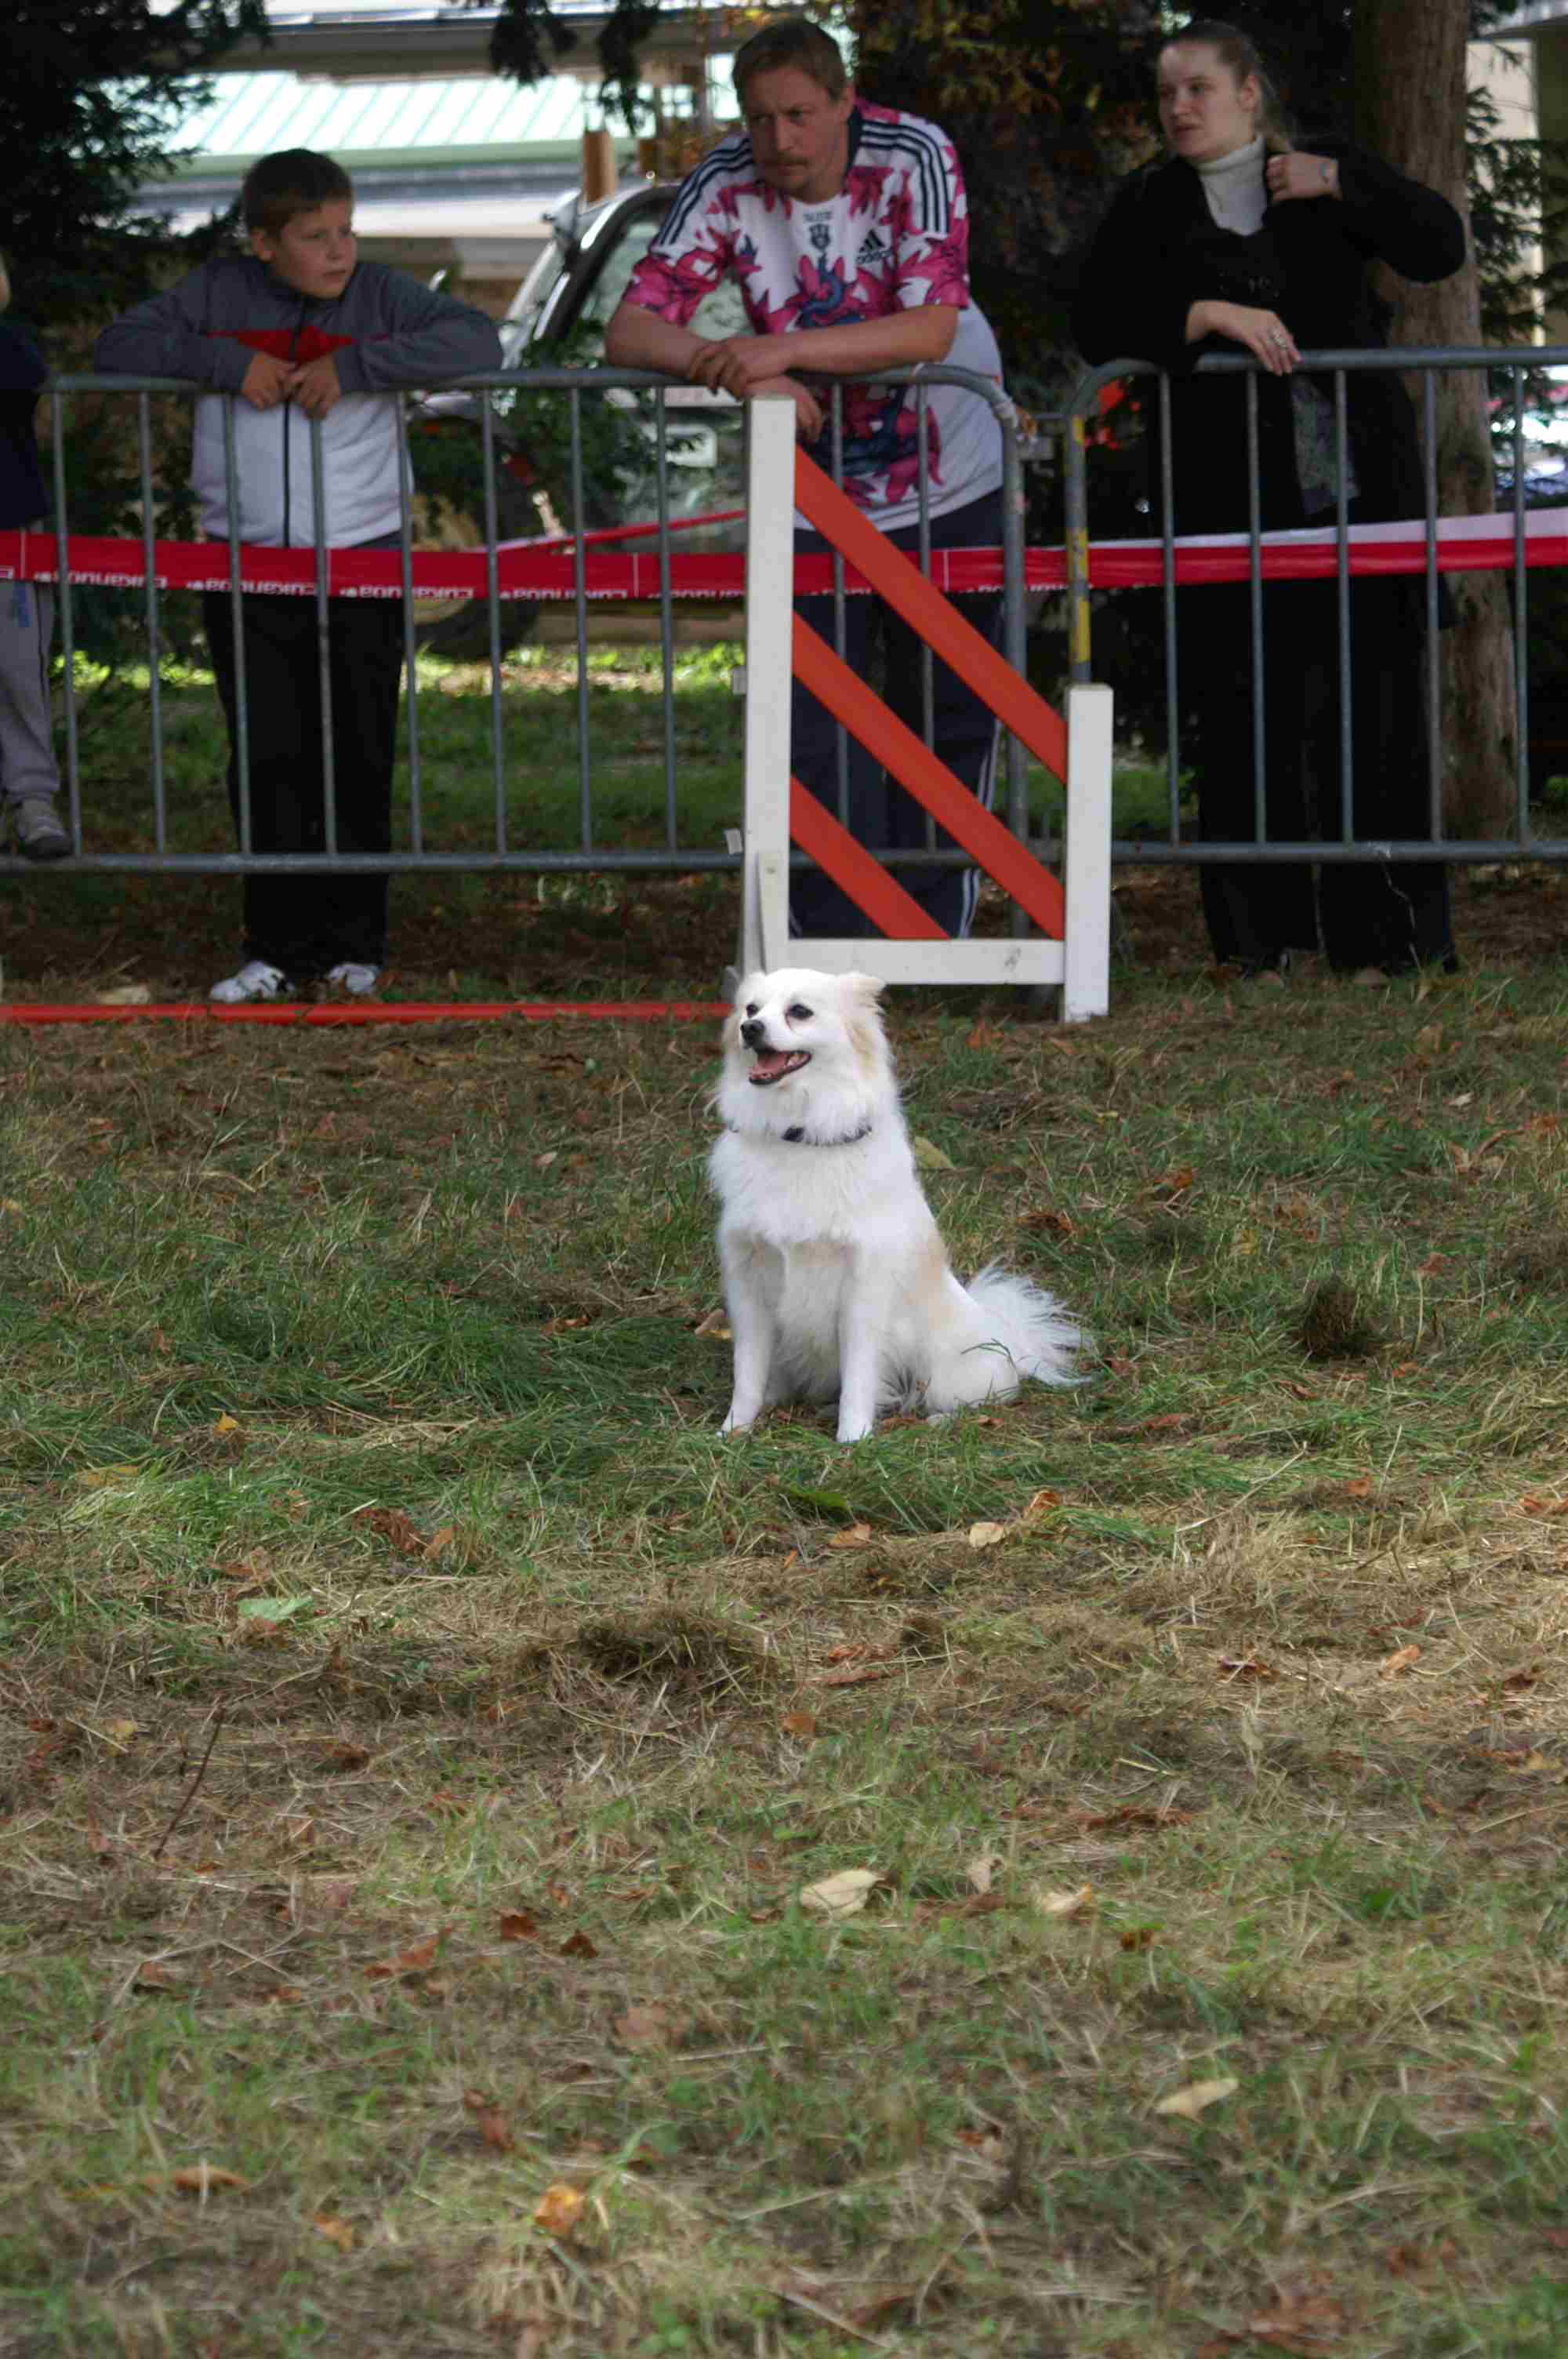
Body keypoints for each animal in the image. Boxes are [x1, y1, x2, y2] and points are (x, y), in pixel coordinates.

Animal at [709, 967, 1082, 1443]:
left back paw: (935, 1420)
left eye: (800, 1011)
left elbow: (859, 1374)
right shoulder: (749, 1286)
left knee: (977, 1400)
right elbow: (748, 1372)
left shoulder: (861, 1291)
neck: (798, 1135)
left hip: (949, 1376)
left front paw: (853, 1438)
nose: (750, 1029)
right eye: (750, 1009)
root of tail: (1005, 1331)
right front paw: (733, 1430)